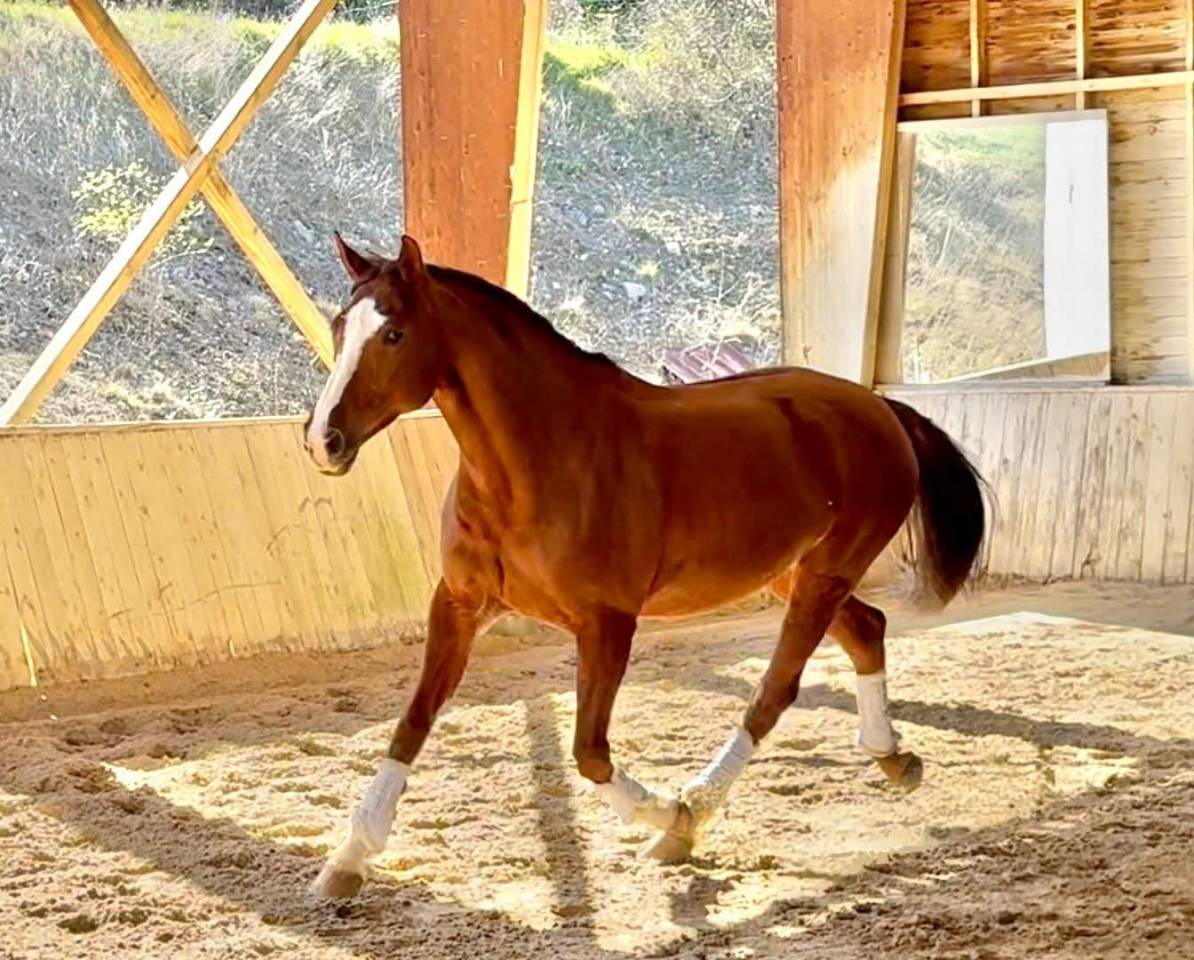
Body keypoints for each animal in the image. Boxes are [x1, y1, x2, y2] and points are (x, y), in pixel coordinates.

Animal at [304, 234, 987, 899]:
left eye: (393, 333)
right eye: (339, 326)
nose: (322, 441)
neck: (537, 464)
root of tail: (878, 407)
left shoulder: (607, 624)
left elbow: (589, 752)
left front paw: (671, 814)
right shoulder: (458, 604)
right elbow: (411, 724)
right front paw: (347, 860)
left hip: (824, 575)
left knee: (774, 692)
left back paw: (695, 813)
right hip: (796, 573)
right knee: (868, 629)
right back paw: (893, 756)